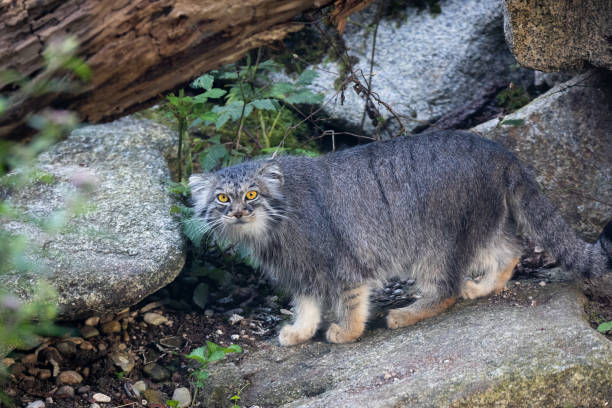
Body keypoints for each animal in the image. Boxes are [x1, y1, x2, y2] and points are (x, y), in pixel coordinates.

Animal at [189, 130, 608, 344]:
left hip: (437, 241)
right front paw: (301, 331)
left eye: (252, 194)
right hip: (479, 224)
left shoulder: (342, 261)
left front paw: (348, 332)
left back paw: (407, 314)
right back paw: (484, 286)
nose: (238, 212)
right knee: (510, 249)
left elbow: (351, 301)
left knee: (447, 289)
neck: (275, 224)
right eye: (223, 198)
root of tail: (498, 149)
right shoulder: (305, 272)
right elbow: (307, 305)